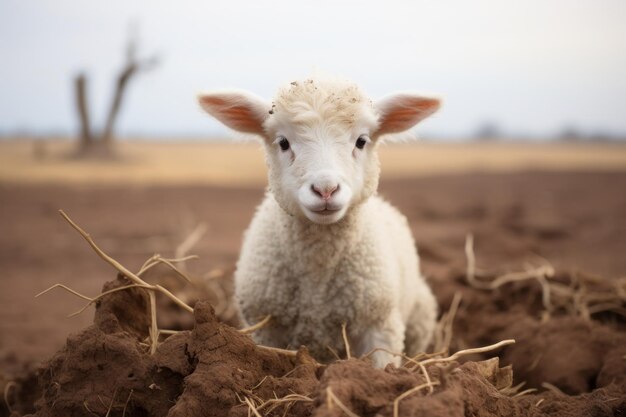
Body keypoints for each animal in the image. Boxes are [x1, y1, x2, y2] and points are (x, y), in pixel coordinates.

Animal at [199, 76, 438, 366]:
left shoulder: (380, 325)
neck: (317, 271)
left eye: (361, 141)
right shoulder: (264, 326)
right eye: (283, 142)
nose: (326, 189)